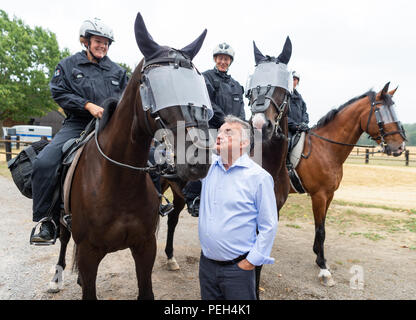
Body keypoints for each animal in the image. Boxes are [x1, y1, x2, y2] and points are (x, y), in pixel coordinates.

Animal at [48, 11, 211, 298]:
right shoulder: (89, 254)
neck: (118, 183)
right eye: (158, 87)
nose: (198, 159)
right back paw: (57, 278)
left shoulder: (145, 247)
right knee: (65, 240)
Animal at [290, 82, 406, 284]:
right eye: (380, 112)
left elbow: (322, 227)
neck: (325, 149)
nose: (400, 147)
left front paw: (320, 258)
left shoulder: (329, 195)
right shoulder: (319, 196)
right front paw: (323, 268)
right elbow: (320, 230)